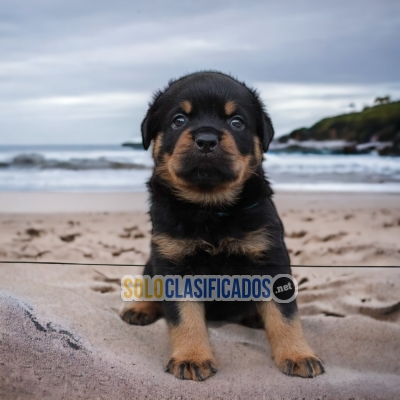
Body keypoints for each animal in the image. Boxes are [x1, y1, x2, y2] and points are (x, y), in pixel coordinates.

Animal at [122, 71, 324, 382]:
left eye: (236, 122)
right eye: (179, 120)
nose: (206, 140)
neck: (210, 208)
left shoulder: (270, 258)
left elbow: (285, 314)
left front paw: (297, 353)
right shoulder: (174, 261)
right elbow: (185, 317)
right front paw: (191, 357)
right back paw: (141, 307)